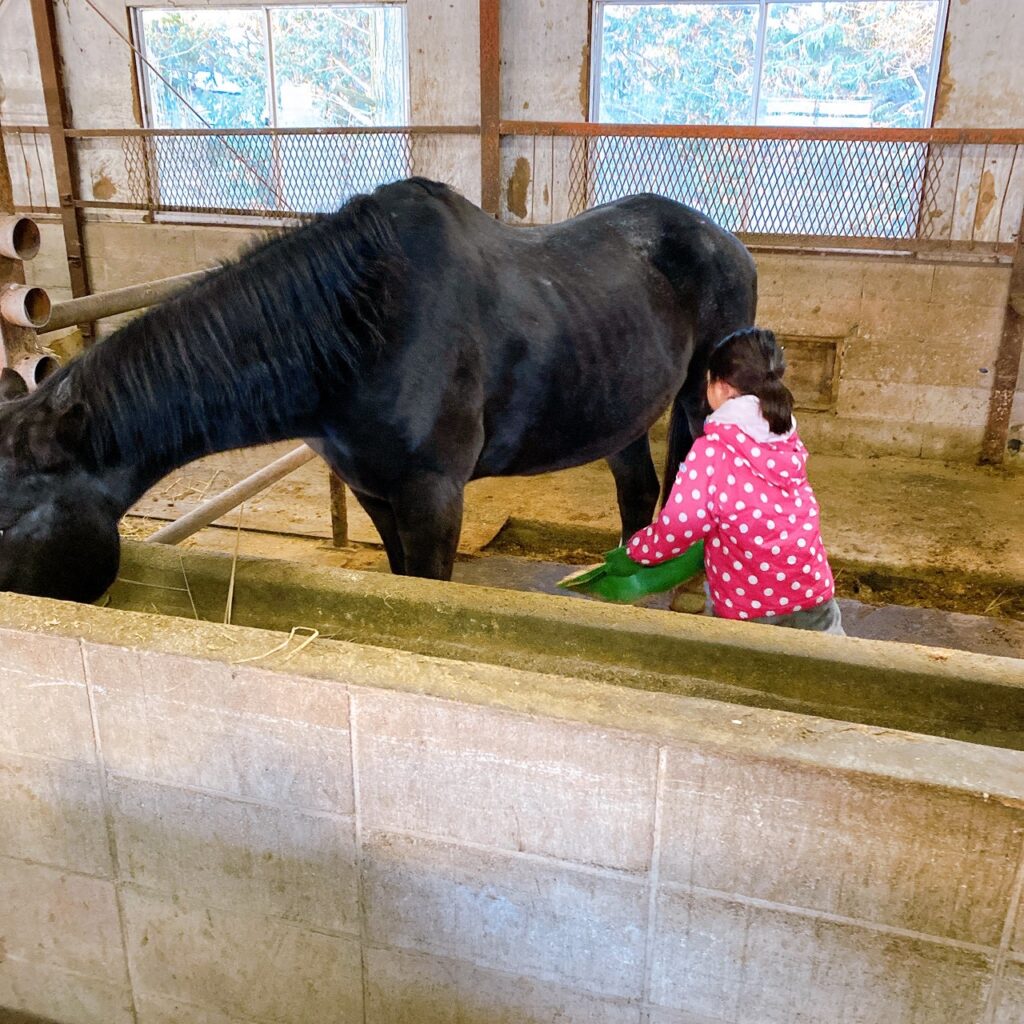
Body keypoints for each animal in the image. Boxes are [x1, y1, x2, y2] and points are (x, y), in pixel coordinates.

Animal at [0, 177, 756, 604]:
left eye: (8, 521)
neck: (363, 330)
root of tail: (724, 239)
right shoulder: (372, 490)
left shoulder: (433, 494)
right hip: (618, 406)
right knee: (636, 488)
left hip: (700, 399)